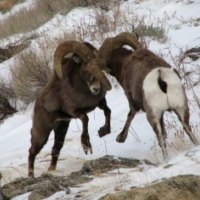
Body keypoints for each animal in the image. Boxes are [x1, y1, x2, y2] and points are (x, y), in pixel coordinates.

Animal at [27, 40, 112, 177]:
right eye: (84, 65)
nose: (96, 88)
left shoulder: (100, 103)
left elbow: (107, 111)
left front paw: (103, 132)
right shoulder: (73, 112)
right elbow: (85, 118)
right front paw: (86, 146)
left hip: (61, 128)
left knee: (56, 149)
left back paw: (51, 170)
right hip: (42, 134)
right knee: (32, 151)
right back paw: (31, 176)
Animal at [90, 32, 199, 160]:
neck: (125, 62)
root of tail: (160, 77)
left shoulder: (130, 98)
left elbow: (130, 114)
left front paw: (120, 138)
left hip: (152, 116)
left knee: (160, 137)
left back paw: (165, 159)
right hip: (181, 108)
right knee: (187, 128)